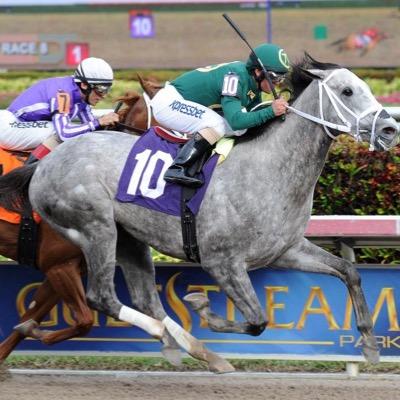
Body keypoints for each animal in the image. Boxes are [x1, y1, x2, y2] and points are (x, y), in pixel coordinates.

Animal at [0, 54, 396, 364]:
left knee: (143, 298)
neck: (267, 168)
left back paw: (187, 348)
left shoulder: (285, 250)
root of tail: (46, 163)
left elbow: (349, 271)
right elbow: (256, 320)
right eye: (347, 91)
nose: (390, 129)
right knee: (102, 297)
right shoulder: (222, 262)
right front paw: (202, 308)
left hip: (127, 239)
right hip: (95, 229)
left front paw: (370, 344)